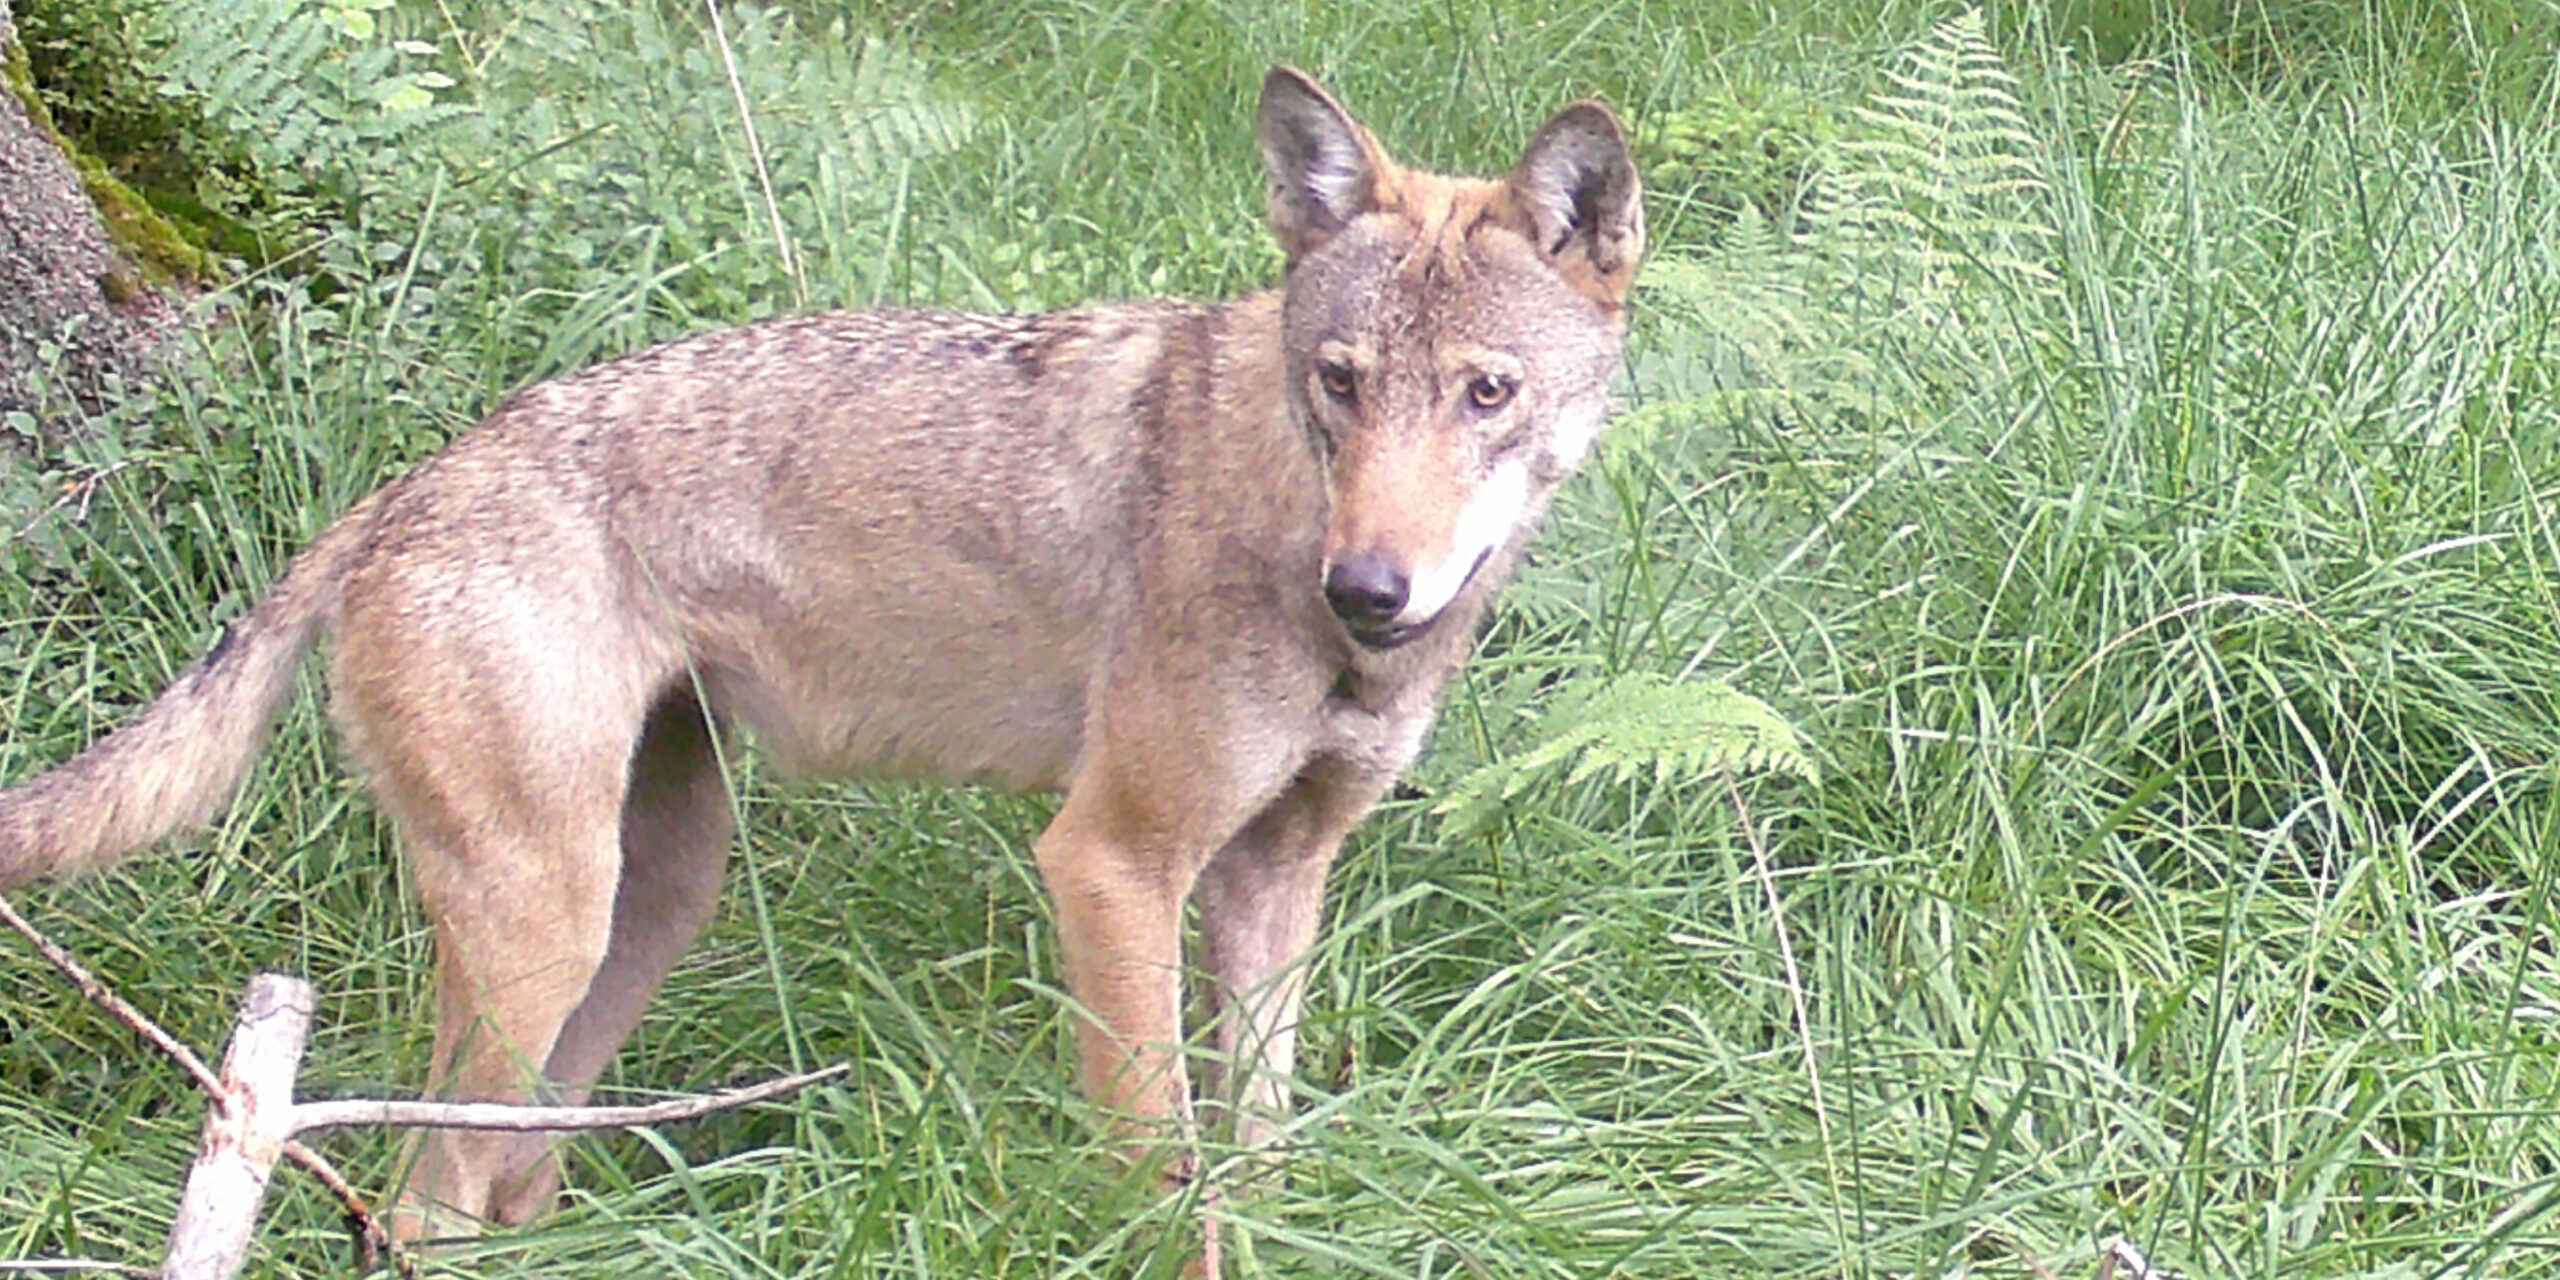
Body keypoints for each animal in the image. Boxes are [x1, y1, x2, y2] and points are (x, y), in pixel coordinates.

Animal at [0, 66, 1642, 1236]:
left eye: (1486, 393)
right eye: (1340, 383)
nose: (1369, 588)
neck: (1287, 521)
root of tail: (400, 491)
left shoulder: (1275, 881)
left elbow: (1260, 1160)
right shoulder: (1110, 863)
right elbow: (1159, 1173)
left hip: (646, 908)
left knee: (507, 1183)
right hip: (551, 926)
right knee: (424, 1201)